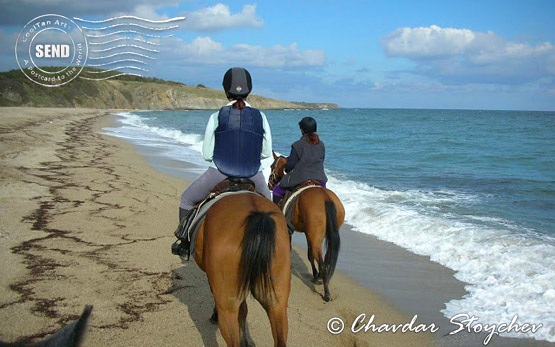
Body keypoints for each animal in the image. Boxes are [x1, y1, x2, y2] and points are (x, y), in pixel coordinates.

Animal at [268, 152, 344, 302]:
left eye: (272, 166)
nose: (270, 184)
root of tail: (325, 198)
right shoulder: (309, 233)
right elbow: (309, 255)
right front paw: (314, 275)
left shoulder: (290, 230)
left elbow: (293, 248)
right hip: (321, 235)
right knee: (325, 258)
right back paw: (321, 278)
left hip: (315, 237)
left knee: (321, 260)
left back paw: (326, 292)